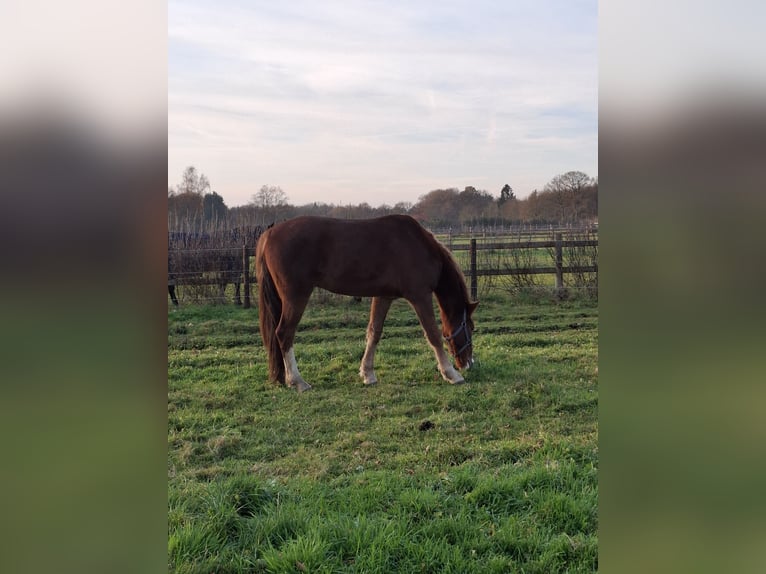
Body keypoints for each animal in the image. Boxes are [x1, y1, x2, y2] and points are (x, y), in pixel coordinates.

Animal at [255, 214, 478, 392]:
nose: (469, 363)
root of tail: (270, 233)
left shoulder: (383, 296)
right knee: (284, 333)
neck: (418, 244)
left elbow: (374, 332)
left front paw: (367, 373)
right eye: (471, 327)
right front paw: (451, 374)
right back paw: (298, 381)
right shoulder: (420, 296)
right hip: (296, 296)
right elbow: (433, 334)